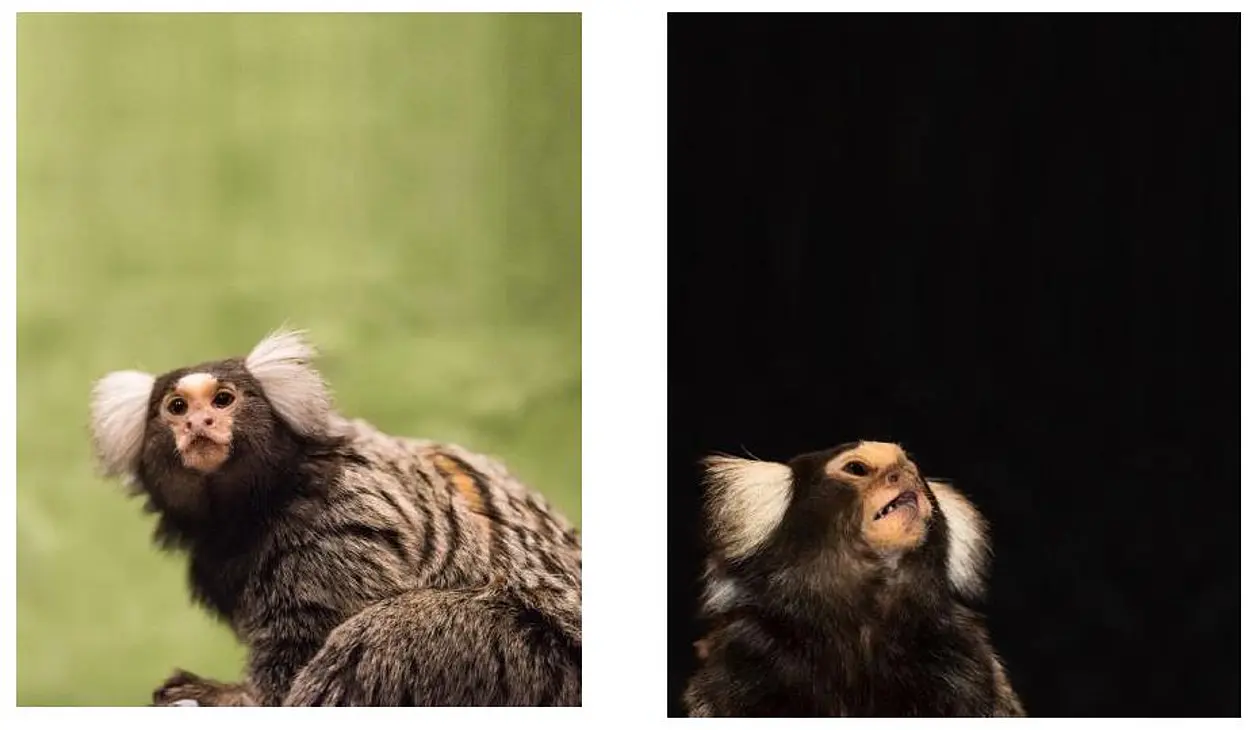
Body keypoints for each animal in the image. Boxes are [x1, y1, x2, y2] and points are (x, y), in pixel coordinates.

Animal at [88, 329, 581, 706]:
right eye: (176, 407)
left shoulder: (334, 528)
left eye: (223, 400)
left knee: (388, 634)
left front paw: (234, 697)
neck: (260, 501)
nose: (199, 424)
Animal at [682, 440, 1024, 717]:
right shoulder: (743, 659)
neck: (860, 632)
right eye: (857, 469)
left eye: (914, 472)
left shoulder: (967, 664)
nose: (904, 475)